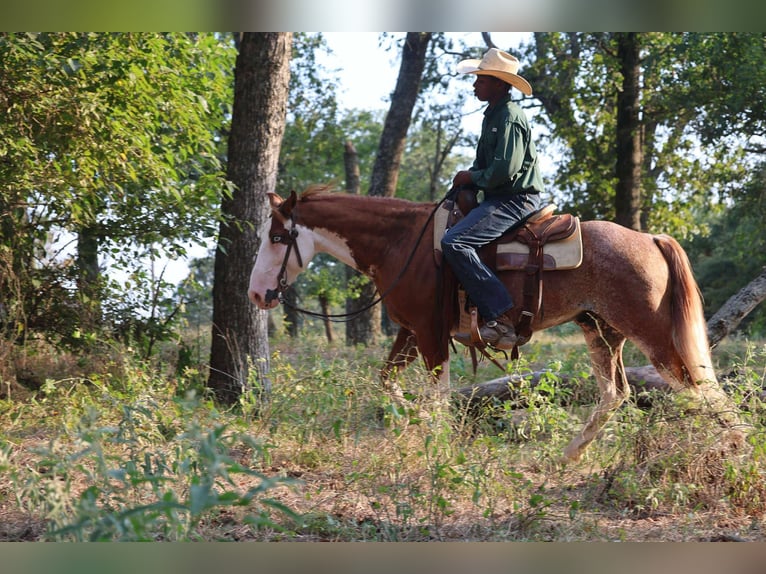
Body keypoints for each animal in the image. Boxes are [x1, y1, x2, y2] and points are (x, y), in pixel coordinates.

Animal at [248, 185, 740, 462]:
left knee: (702, 388)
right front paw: (414, 425)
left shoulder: (430, 335)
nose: (256, 293)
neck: (402, 244)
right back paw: (564, 458)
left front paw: (438, 448)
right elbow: (387, 383)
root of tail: (650, 239)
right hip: (600, 330)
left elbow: (438, 397)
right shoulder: (410, 332)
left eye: (277, 236)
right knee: (615, 394)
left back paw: (738, 449)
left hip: (652, 335)